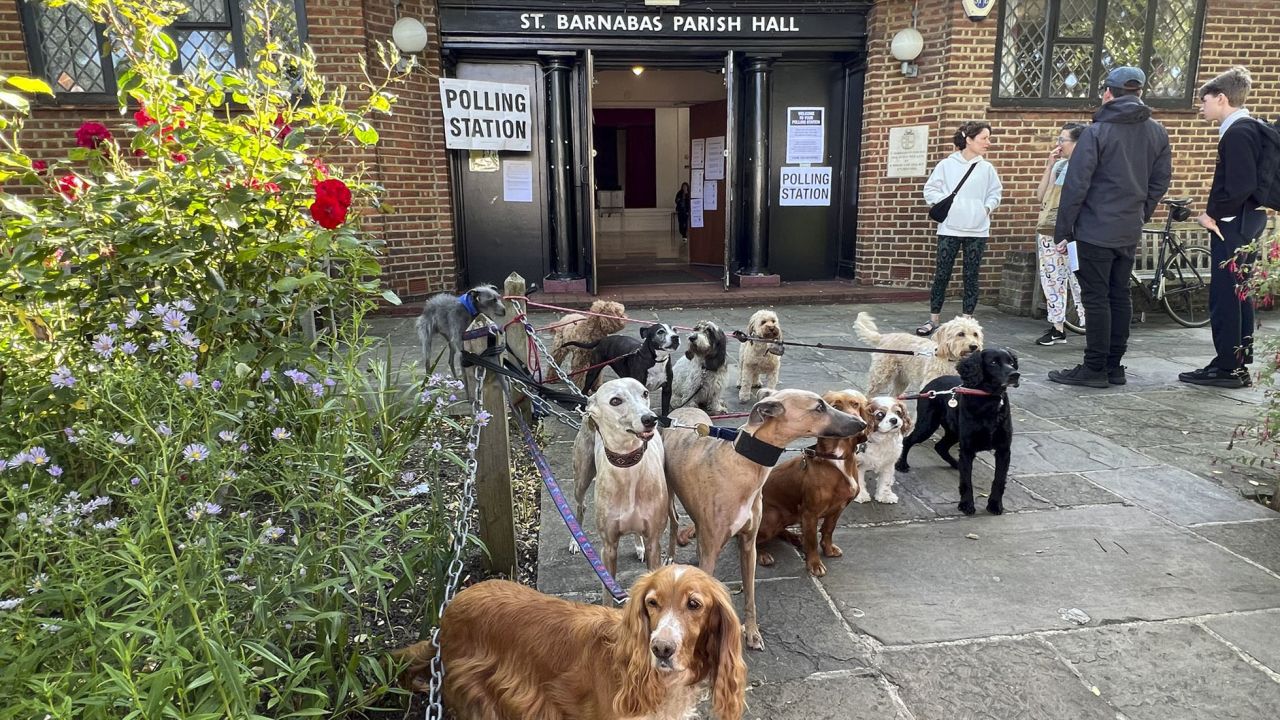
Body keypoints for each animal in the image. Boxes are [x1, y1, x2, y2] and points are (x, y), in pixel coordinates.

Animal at [752, 389, 875, 573]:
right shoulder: (810, 513)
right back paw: (762, 554)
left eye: (855, 404)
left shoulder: (838, 508)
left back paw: (795, 537)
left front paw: (828, 549)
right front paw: (815, 564)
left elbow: (828, 530)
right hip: (773, 516)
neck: (836, 458)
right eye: (836, 406)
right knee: (753, 540)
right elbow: (812, 540)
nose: (861, 423)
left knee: (781, 530)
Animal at [855, 311, 983, 394]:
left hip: (901, 380)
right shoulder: (929, 389)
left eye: (975, 334)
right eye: (960, 334)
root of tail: (884, 337)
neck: (951, 361)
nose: (974, 346)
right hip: (880, 377)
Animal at [901, 345, 1018, 512]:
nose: (1015, 375)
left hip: (953, 432)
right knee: (908, 440)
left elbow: (999, 480)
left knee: (940, 446)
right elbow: (966, 481)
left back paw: (955, 463)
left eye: (1011, 362)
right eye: (994, 362)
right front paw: (966, 505)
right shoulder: (968, 448)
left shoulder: (1003, 449)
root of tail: (930, 386)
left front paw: (995, 505)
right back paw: (901, 465)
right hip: (927, 425)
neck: (988, 401)